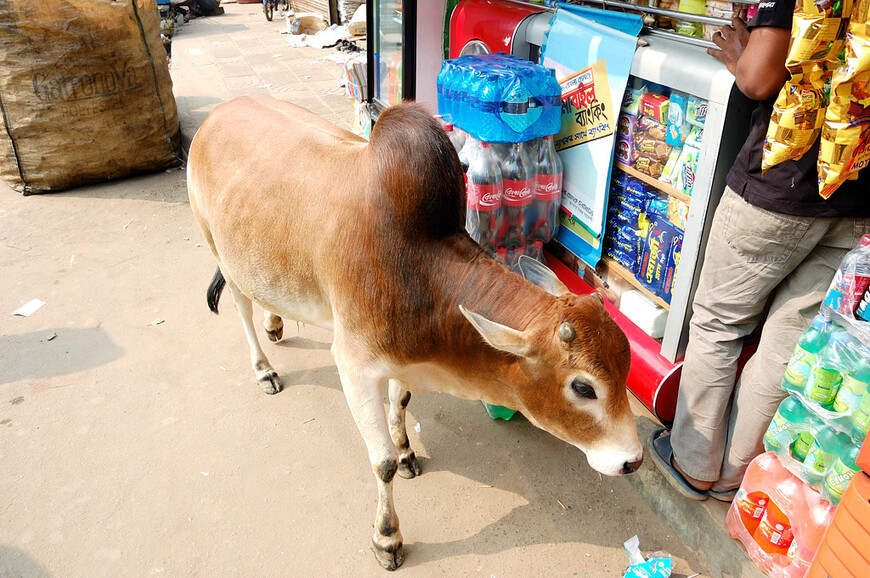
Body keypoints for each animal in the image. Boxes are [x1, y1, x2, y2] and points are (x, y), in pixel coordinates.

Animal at [187, 97, 644, 568]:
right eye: (583, 388)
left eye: (626, 365)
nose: (633, 460)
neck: (419, 273)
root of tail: (219, 112)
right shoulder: (353, 366)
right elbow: (382, 463)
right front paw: (387, 537)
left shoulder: (402, 361)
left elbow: (401, 403)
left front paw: (407, 450)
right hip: (217, 247)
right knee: (240, 306)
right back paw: (263, 368)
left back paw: (274, 322)